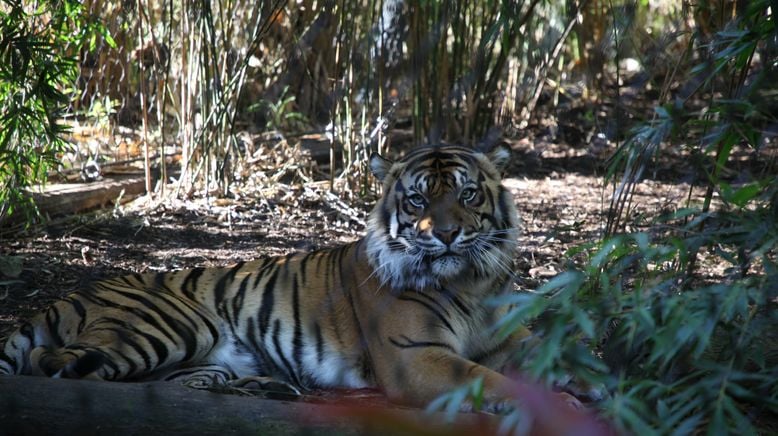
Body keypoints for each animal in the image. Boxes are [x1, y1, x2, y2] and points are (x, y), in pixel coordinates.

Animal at [1, 146, 576, 412]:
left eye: (468, 194)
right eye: (417, 200)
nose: (450, 235)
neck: (470, 282)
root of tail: (71, 295)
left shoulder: (512, 339)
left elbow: (565, 360)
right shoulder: (416, 357)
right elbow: (488, 380)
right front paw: (560, 405)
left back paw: (266, 386)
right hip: (166, 327)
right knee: (52, 363)